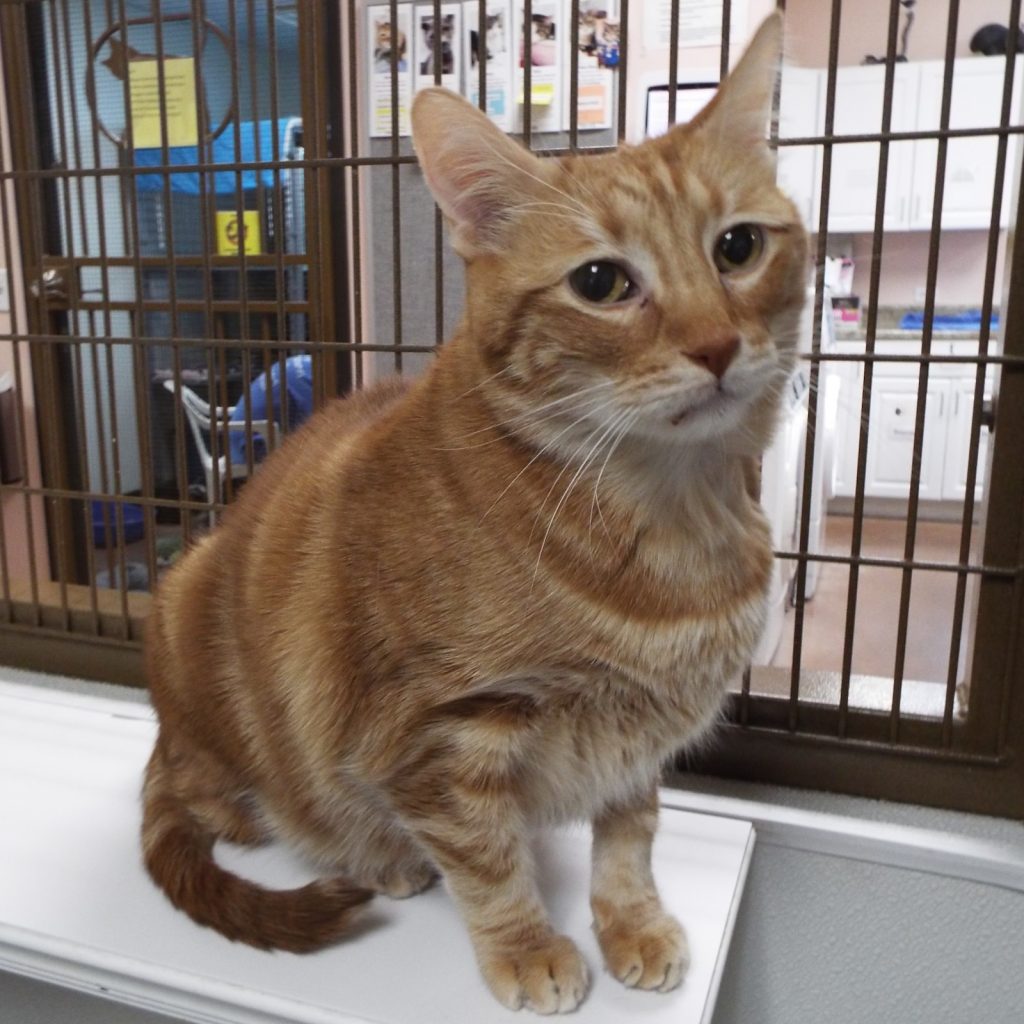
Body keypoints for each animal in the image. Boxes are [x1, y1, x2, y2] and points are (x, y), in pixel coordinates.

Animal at [141, 13, 805, 1015]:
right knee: (243, 810)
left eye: (738, 248)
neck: (668, 515)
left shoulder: (639, 741)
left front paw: (631, 923)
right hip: (189, 617)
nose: (718, 344)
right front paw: (527, 946)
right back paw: (374, 854)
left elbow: (630, 836)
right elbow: (487, 859)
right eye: (602, 283)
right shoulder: (439, 734)